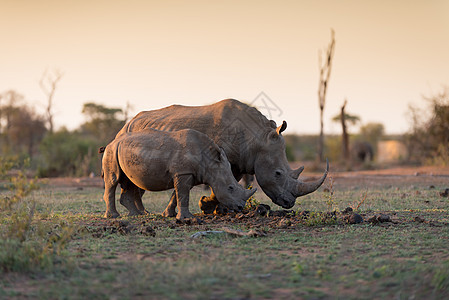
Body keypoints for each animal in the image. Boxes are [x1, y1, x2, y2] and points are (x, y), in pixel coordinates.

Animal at [101, 127, 256, 219]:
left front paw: (169, 215)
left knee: (129, 181)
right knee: (113, 181)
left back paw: (135, 215)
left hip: (124, 151)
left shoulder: (184, 173)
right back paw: (113, 216)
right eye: (230, 188)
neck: (210, 162)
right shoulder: (183, 173)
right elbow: (183, 194)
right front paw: (187, 218)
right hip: (112, 151)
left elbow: (177, 195)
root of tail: (111, 142)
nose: (240, 207)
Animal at [114, 99, 328, 212]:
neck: (256, 138)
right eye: (277, 173)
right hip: (127, 137)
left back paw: (142, 212)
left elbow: (229, 183)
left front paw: (212, 207)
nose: (289, 203)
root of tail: (126, 124)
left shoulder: (240, 161)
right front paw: (207, 207)